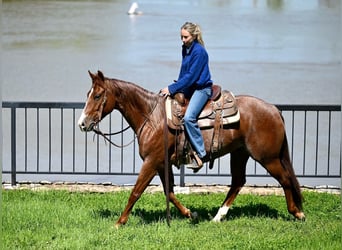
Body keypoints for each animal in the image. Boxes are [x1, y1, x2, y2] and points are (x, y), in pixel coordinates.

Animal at [77, 70, 304, 227]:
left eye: (97, 96)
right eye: (87, 94)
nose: (82, 123)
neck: (153, 117)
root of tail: (274, 109)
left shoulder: (151, 161)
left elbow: (136, 191)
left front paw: (119, 222)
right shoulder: (161, 163)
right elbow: (169, 192)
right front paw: (189, 214)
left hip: (267, 157)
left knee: (284, 179)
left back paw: (297, 212)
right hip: (240, 154)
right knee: (238, 182)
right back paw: (218, 216)